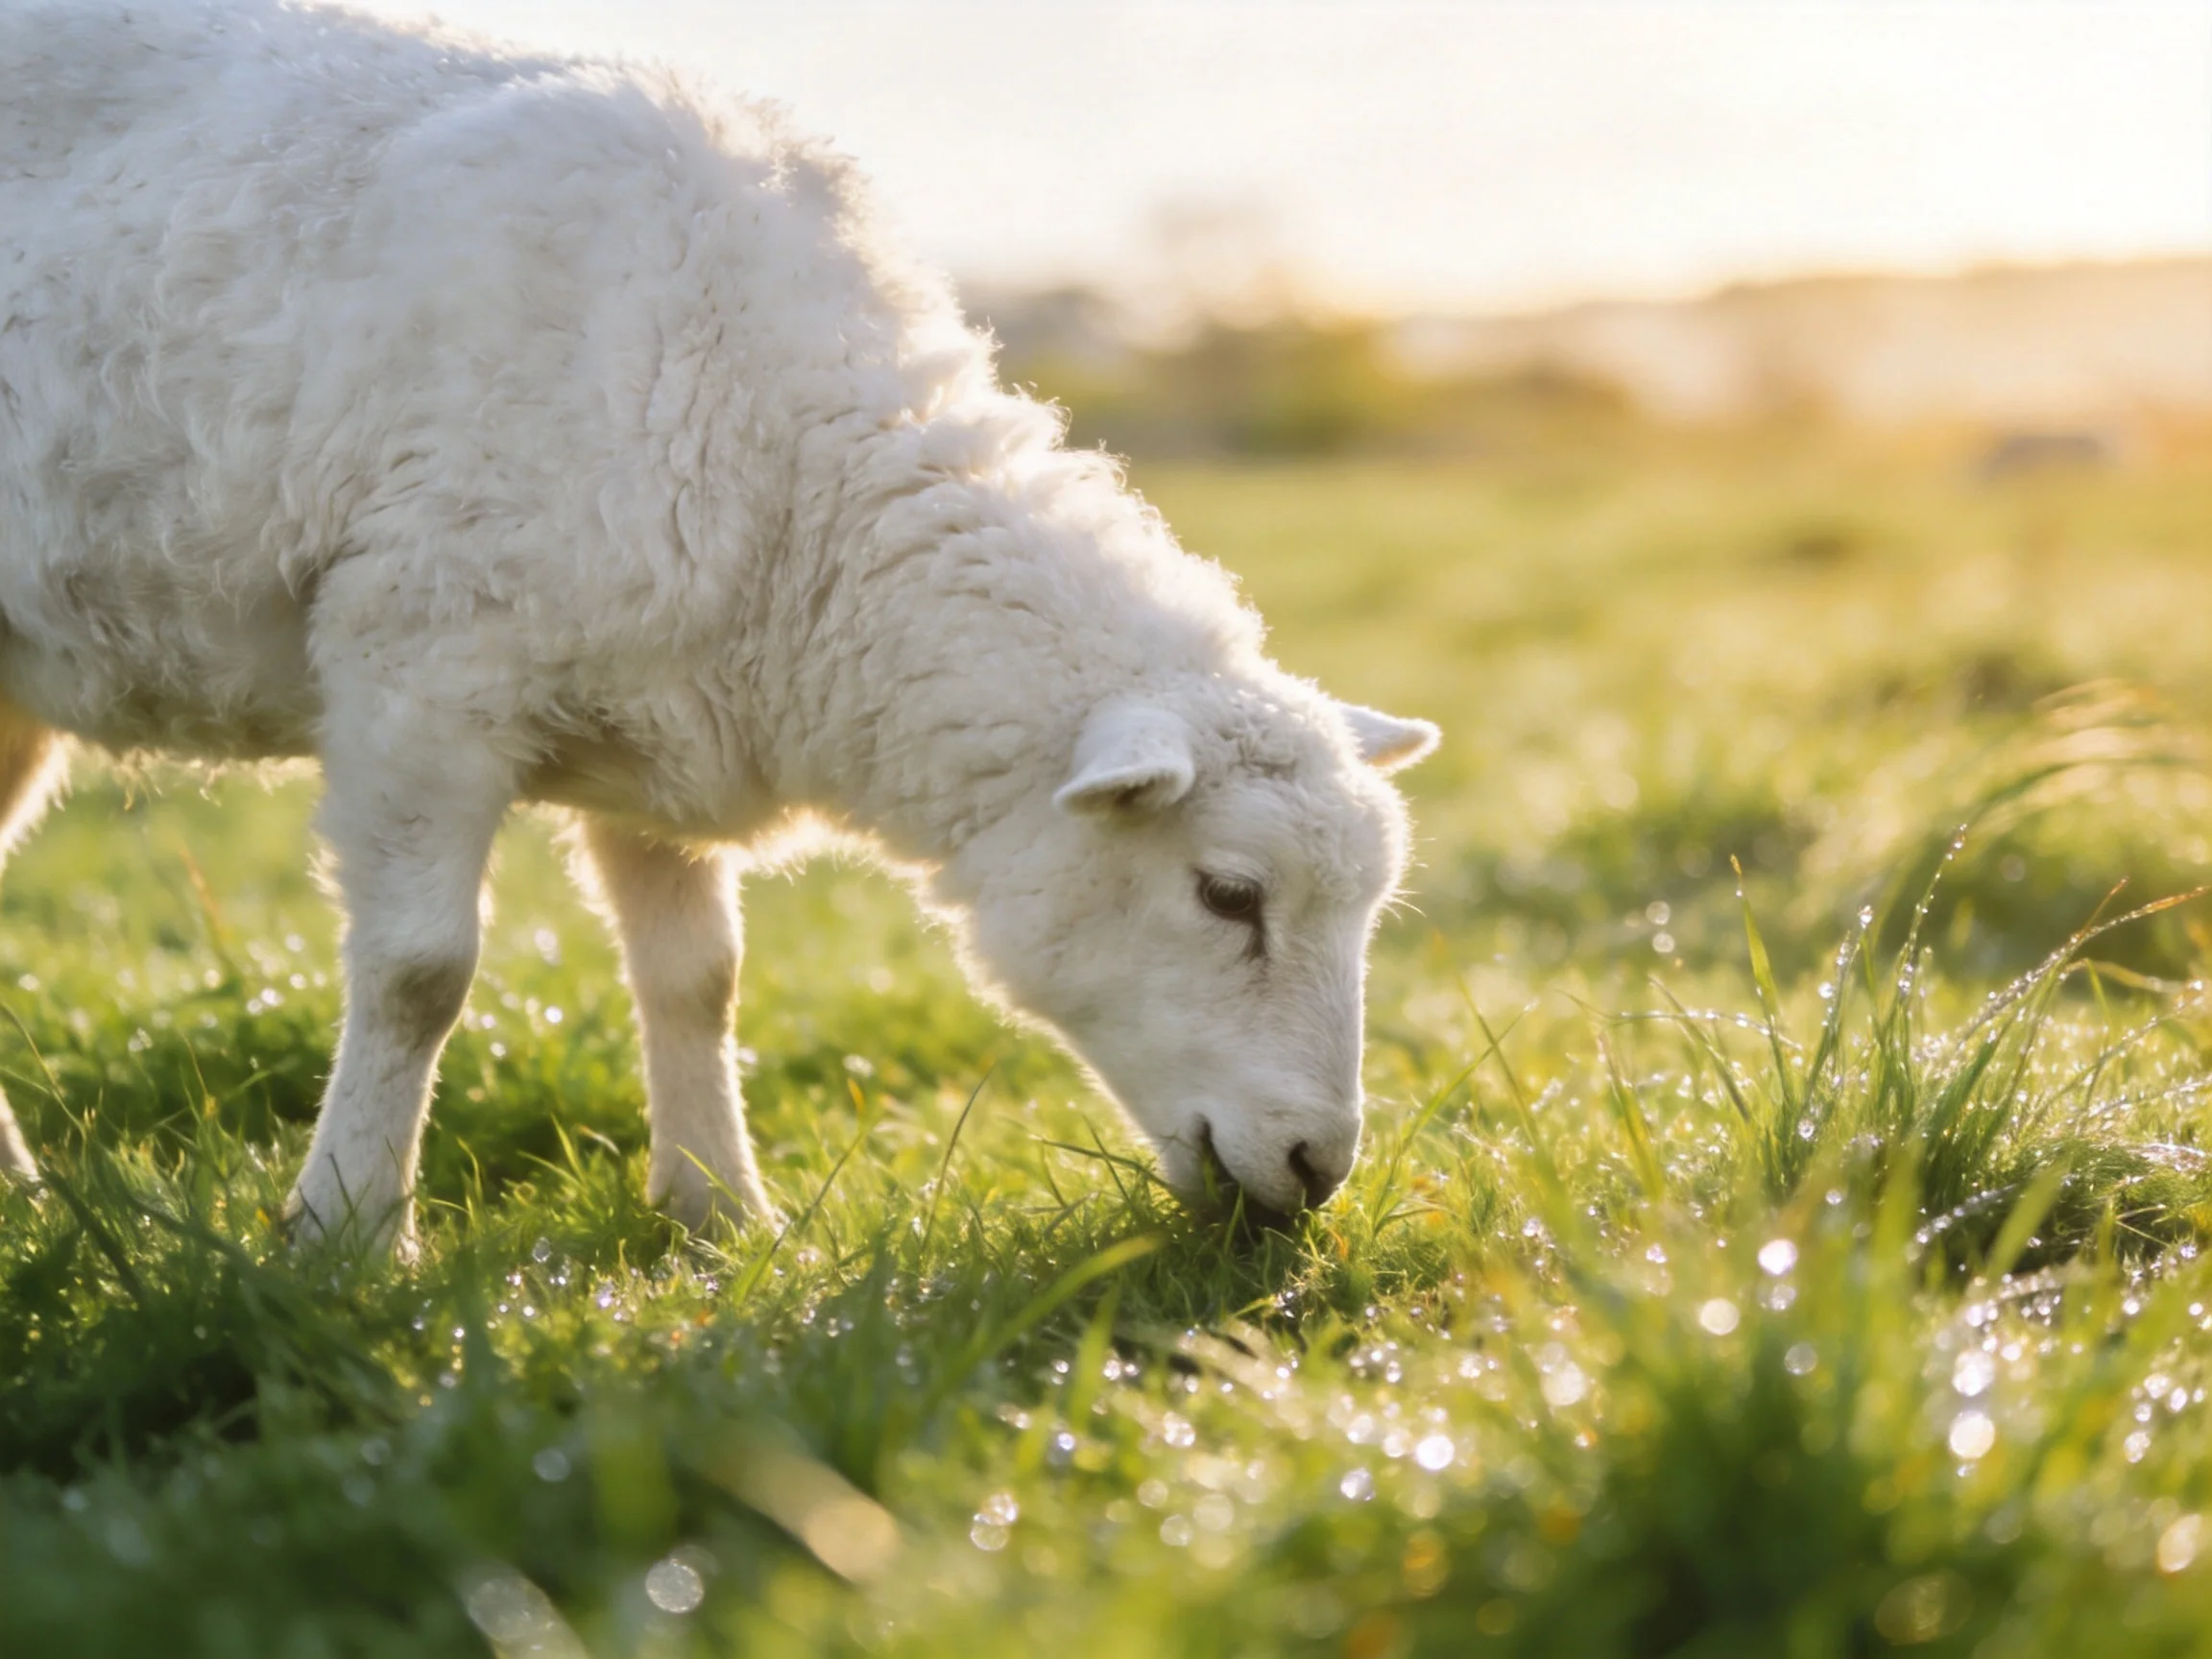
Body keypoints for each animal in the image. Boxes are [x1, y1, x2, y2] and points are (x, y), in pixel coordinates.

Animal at [0, 0, 1438, 1252]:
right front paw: (348, 1236)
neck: (796, 484)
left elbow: (699, 979)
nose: (1318, 1166)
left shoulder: (658, 723)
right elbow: (419, 975)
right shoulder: (419, 669)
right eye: (1229, 894)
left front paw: (721, 1217)